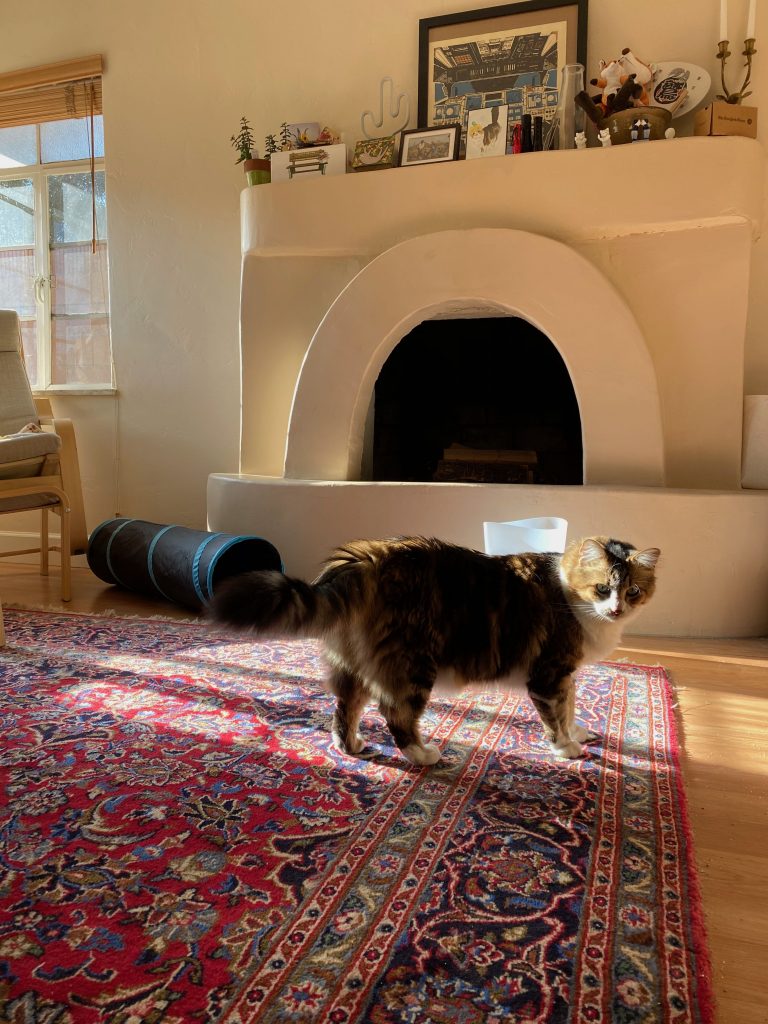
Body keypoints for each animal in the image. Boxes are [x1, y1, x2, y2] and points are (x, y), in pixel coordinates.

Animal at [208, 536, 663, 770]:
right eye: (603, 589)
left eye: (632, 591)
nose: (617, 609)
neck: (569, 594)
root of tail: (365, 557)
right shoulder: (549, 674)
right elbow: (555, 717)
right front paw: (566, 748)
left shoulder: (566, 674)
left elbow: (570, 707)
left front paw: (578, 732)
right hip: (411, 665)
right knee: (395, 714)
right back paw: (424, 754)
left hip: (354, 664)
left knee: (345, 707)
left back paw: (351, 746)